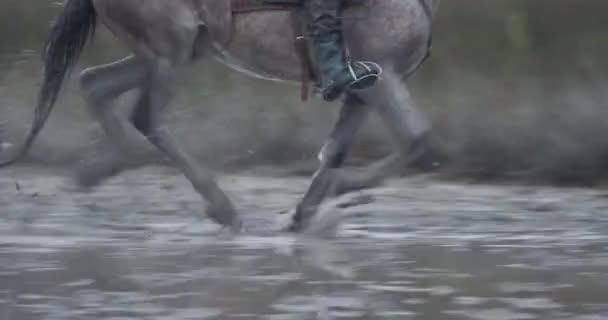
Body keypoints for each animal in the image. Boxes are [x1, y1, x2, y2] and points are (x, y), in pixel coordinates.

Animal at [0, 0, 440, 231]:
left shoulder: (363, 93)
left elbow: (336, 153)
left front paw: (302, 216)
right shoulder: (381, 79)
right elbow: (416, 139)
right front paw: (336, 196)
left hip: (177, 51)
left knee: (94, 84)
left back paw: (95, 172)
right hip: (171, 49)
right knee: (145, 117)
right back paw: (222, 207)